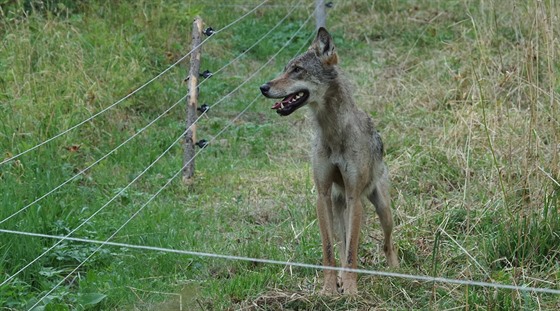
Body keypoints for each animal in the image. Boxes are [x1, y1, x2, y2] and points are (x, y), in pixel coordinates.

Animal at [260, 26, 400, 294]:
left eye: (297, 70)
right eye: (285, 68)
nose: (263, 87)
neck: (333, 133)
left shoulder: (355, 197)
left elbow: (352, 253)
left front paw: (352, 291)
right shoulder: (322, 195)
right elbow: (329, 251)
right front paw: (329, 290)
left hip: (381, 209)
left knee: (387, 242)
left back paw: (394, 271)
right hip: (338, 208)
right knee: (343, 243)